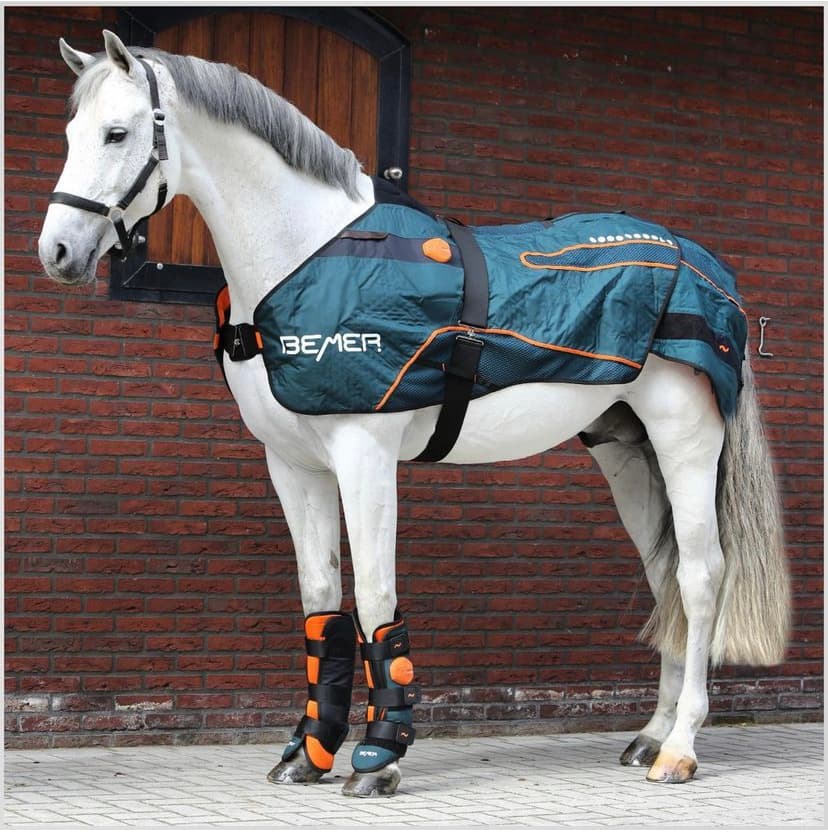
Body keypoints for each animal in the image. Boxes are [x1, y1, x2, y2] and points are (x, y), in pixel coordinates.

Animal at [39, 31, 790, 798]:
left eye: (117, 132)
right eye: (70, 133)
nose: (58, 252)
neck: (307, 256)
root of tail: (700, 266)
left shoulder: (364, 454)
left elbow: (375, 599)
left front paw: (378, 756)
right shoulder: (295, 465)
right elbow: (321, 600)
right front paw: (307, 752)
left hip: (683, 441)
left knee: (700, 576)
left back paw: (681, 748)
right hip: (627, 453)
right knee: (666, 578)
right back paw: (650, 734)